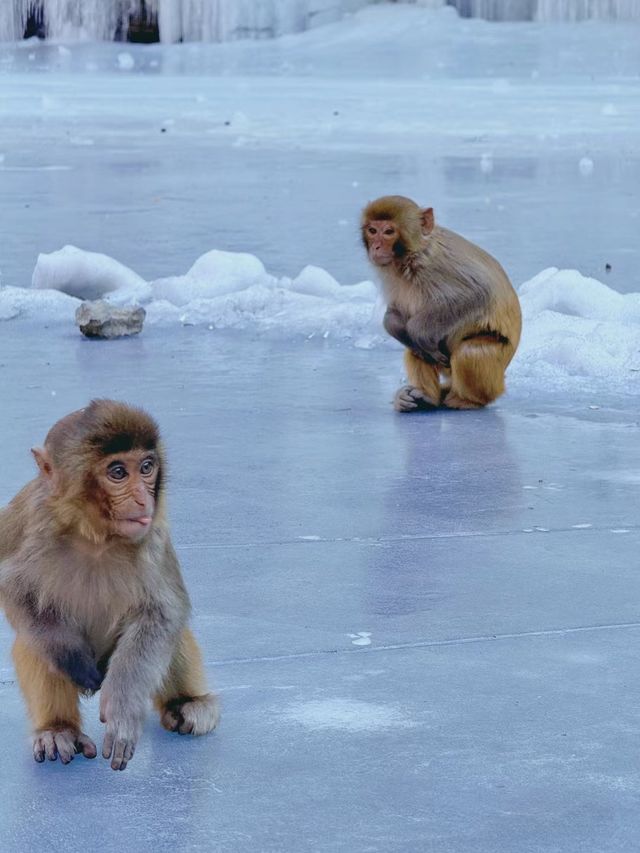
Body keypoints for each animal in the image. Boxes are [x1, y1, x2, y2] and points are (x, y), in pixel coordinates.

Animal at [0, 402, 218, 768]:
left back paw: (185, 703)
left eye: (146, 467)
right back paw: (59, 730)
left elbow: (164, 611)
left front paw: (122, 708)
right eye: (117, 473)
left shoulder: (153, 534)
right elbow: (13, 589)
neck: (95, 535)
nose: (144, 498)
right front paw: (71, 657)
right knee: (33, 640)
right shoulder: (32, 520)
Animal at [360, 200, 520, 412]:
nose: (376, 247)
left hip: (495, 363)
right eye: (372, 230)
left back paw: (466, 400)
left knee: (469, 352)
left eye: (388, 232)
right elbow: (394, 313)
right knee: (415, 350)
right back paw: (427, 398)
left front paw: (417, 331)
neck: (412, 254)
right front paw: (396, 327)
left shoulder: (437, 266)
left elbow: (476, 294)